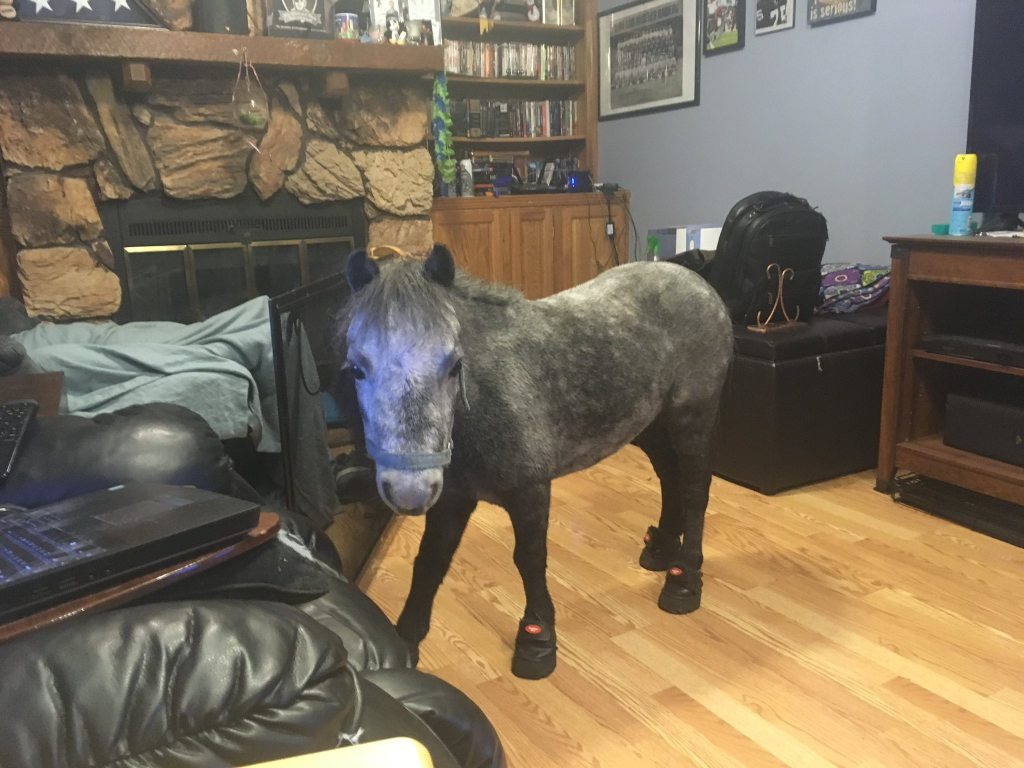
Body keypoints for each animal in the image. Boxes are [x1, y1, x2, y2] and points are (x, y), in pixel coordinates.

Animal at [337, 244, 733, 679]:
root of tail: (697, 283)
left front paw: (537, 639)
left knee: (695, 491)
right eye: (356, 368)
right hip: (648, 424)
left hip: (692, 418)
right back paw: (662, 548)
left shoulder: (531, 491)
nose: (409, 491)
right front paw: (404, 643)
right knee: (669, 479)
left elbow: (529, 559)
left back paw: (684, 580)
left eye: (454, 365)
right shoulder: (452, 500)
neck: (487, 400)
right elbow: (429, 563)